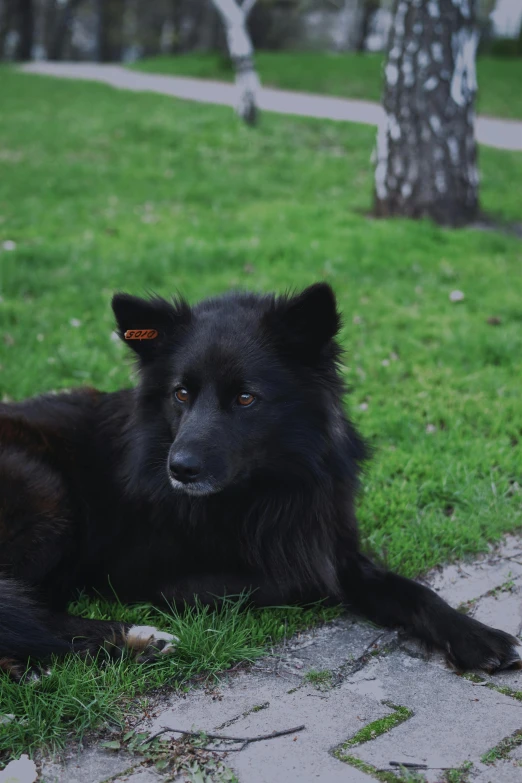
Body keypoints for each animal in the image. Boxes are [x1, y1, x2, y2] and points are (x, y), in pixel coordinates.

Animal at [0, 284, 516, 680]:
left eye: (246, 398)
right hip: (48, 494)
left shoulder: (329, 539)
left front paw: (474, 635)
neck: (268, 489)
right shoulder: (145, 576)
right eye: (181, 394)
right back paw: (136, 640)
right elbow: (296, 580)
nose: (178, 468)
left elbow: (407, 588)